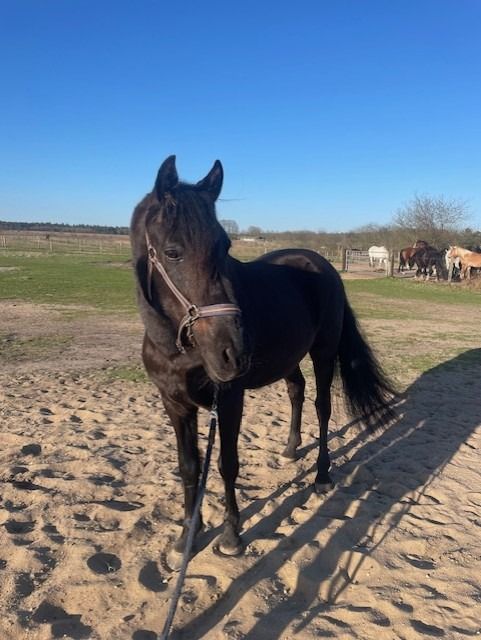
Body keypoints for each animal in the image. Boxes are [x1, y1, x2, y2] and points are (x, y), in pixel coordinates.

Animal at [130, 156, 395, 568]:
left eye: (224, 245)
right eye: (172, 252)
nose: (234, 352)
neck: (179, 348)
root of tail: (320, 263)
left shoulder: (229, 400)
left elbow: (227, 463)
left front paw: (230, 536)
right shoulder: (175, 404)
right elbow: (189, 467)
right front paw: (186, 538)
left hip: (323, 353)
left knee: (321, 406)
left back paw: (322, 476)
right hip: (290, 357)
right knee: (296, 390)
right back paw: (290, 450)